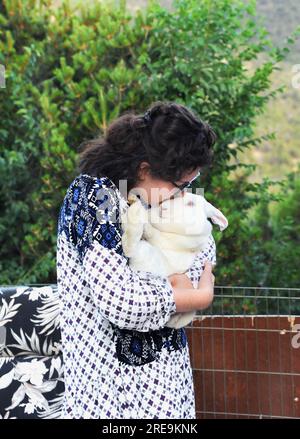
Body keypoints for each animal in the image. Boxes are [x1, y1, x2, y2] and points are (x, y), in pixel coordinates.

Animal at [119, 191, 227, 328]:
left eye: (191, 204)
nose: (163, 208)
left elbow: (152, 232)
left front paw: (144, 217)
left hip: (147, 255)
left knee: (130, 246)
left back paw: (135, 210)